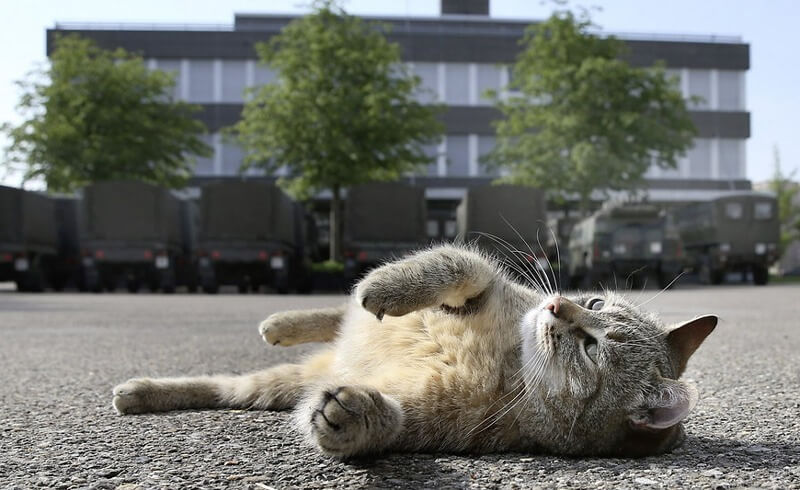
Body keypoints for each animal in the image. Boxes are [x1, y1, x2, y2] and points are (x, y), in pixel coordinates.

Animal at [111, 245, 712, 460]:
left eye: (591, 349)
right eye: (594, 301)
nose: (559, 304)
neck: (512, 359)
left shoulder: (430, 419)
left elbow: (389, 421)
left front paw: (354, 416)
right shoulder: (492, 282)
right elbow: (453, 262)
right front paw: (387, 286)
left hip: (273, 385)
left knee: (227, 387)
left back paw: (139, 392)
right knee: (336, 316)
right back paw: (282, 321)